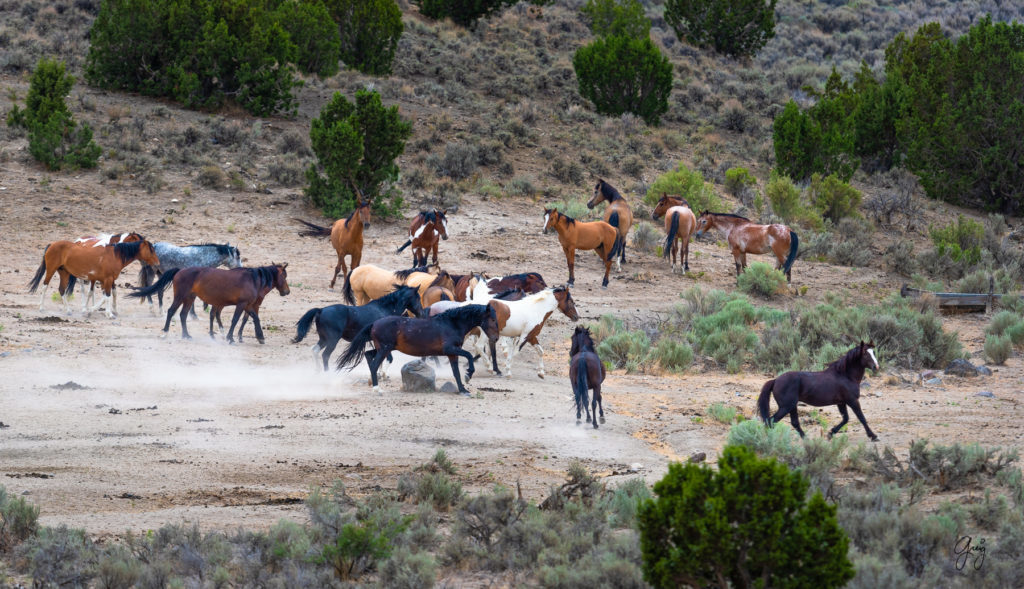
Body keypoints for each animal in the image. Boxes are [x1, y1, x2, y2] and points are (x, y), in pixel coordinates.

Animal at [27, 239, 159, 317]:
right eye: (151, 250)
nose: (157, 263)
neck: (114, 255)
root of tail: (52, 244)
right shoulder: (107, 280)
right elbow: (107, 296)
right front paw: (108, 313)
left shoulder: (108, 280)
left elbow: (108, 296)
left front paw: (93, 310)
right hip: (51, 270)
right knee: (45, 286)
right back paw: (42, 308)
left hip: (64, 273)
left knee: (61, 290)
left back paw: (67, 310)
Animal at [129, 264, 288, 344]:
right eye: (284, 275)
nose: (287, 291)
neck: (252, 280)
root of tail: (180, 270)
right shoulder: (242, 304)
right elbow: (236, 320)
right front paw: (230, 338)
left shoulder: (248, 305)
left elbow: (254, 318)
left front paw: (260, 337)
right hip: (180, 297)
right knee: (171, 311)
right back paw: (165, 333)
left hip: (189, 298)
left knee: (183, 315)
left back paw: (186, 335)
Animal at [292, 284, 423, 370]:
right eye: (418, 298)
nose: (421, 313)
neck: (384, 309)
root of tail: (321, 310)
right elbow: (389, 359)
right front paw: (383, 376)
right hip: (332, 340)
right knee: (325, 355)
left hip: (324, 339)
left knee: (315, 350)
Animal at [335, 303, 499, 397]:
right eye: (492, 319)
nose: (495, 338)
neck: (451, 323)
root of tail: (374, 323)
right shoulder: (450, 349)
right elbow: (469, 356)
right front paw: (468, 375)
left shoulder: (452, 353)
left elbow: (456, 373)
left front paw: (463, 389)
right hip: (385, 349)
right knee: (374, 364)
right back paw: (377, 389)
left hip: (382, 349)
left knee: (368, 355)